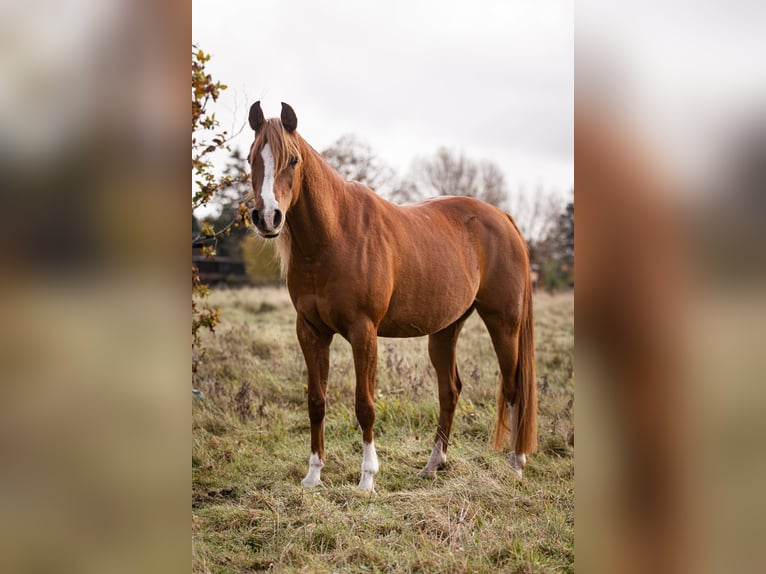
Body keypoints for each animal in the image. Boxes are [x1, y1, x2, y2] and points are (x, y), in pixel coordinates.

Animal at [247, 101, 537, 491]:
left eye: (293, 159)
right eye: (251, 158)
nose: (267, 217)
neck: (332, 237)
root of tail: (504, 218)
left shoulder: (363, 332)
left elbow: (364, 405)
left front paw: (367, 479)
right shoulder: (310, 331)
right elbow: (316, 401)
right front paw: (313, 475)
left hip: (504, 325)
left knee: (513, 386)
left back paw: (516, 465)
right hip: (446, 329)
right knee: (450, 391)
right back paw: (433, 465)